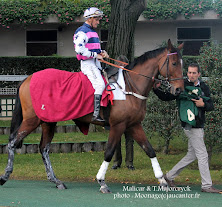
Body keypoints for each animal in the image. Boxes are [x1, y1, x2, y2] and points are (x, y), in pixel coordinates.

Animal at [0, 39, 184, 193]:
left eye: (182, 63)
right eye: (174, 63)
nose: (179, 89)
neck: (129, 88)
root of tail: (28, 78)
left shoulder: (133, 125)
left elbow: (149, 150)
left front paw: (163, 181)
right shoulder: (118, 126)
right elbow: (109, 152)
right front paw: (101, 181)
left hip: (48, 122)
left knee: (44, 148)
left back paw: (56, 180)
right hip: (32, 120)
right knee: (13, 142)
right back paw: (5, 175)